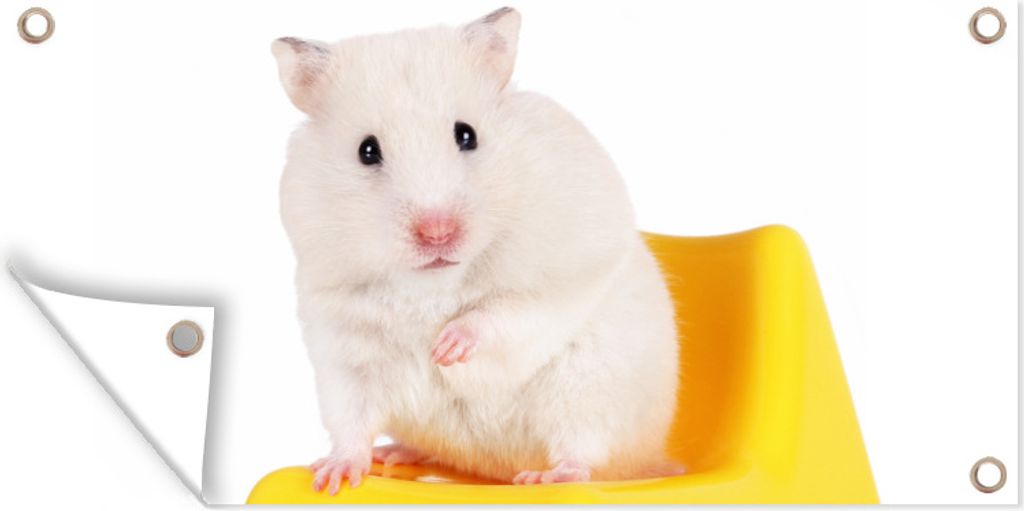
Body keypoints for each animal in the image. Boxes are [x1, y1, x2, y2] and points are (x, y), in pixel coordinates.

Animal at [272, 7, 682, 494]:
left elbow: (506, 311)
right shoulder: (344, 344)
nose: (437, 233)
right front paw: (332, 476)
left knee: (585, 455)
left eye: (466, 135)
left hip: (588, 389)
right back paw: (394, 454)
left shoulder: (564, 272)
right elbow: (350, 419)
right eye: (366, 150)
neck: (433, 282)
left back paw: (543, 477)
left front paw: (445, 348)